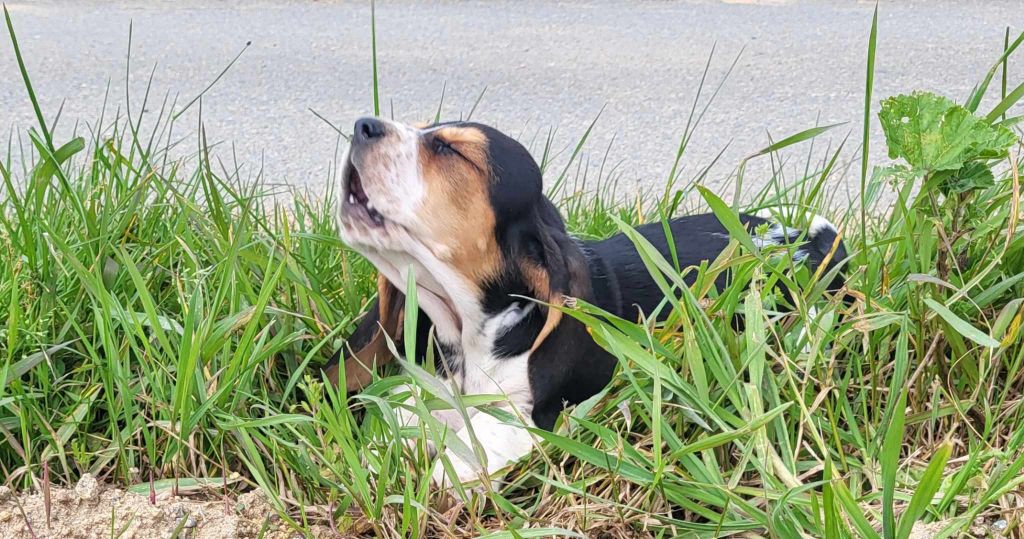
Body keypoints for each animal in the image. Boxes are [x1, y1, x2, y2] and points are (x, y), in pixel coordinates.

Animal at [325, 117, 847, 485]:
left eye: (451, 150)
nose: (362, 124)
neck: (474, 334)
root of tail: (816, 240)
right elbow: (405, 414)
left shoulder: (546, 415)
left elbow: (487, 438)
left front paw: (446, 470)